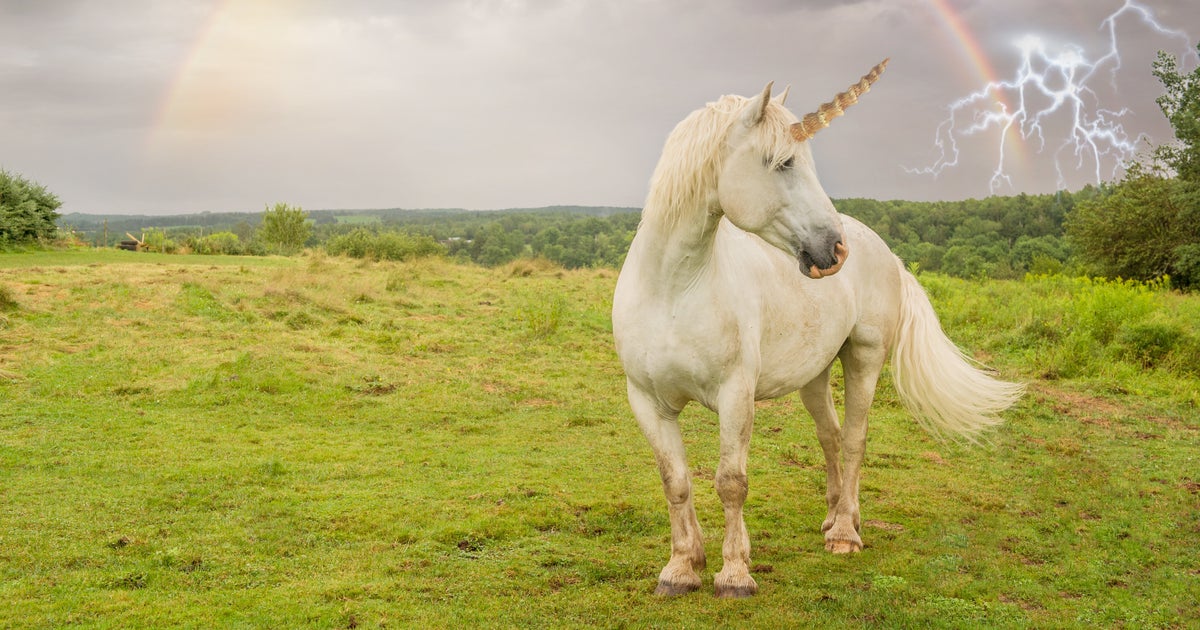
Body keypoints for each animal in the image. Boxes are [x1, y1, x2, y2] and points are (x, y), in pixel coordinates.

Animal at [619, 60, 1022, 600]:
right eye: (783, 162)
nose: (835, 248)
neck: (673, 288)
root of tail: (881, 247)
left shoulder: (735, 395)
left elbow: (731, 482)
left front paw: (734, 574)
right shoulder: (647, 400)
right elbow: (675, 482)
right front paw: (681, 568)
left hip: (865, 357)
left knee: (853, 439)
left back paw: (846, 533)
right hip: (813, 374)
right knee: (830, 436)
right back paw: (833, 520)